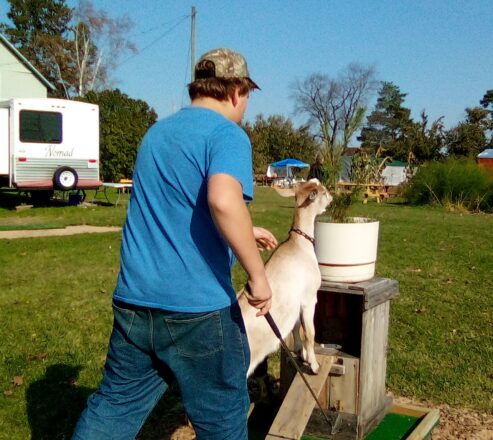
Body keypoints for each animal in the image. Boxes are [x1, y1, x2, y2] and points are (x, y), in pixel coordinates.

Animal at [238, 179, 330, 374]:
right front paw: (313, 364)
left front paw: (300, 352)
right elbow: (309, 332)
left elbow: (295, 327)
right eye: (323, 192)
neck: (299, 245)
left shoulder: (296, 302)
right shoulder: (309, 298)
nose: (331, 196)